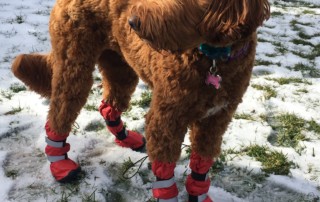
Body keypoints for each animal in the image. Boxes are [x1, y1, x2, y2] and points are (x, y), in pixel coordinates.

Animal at [11, 0, 268, 200]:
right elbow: (165, 174)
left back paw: (124, 137)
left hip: (120, 66)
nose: (133, 22)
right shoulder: (166, 120)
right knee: (59, 110)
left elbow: (202, 164)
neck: (213, 58)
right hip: (74, 63)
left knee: (107, 104)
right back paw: (60, 163)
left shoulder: (216, 120)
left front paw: (198, 193)